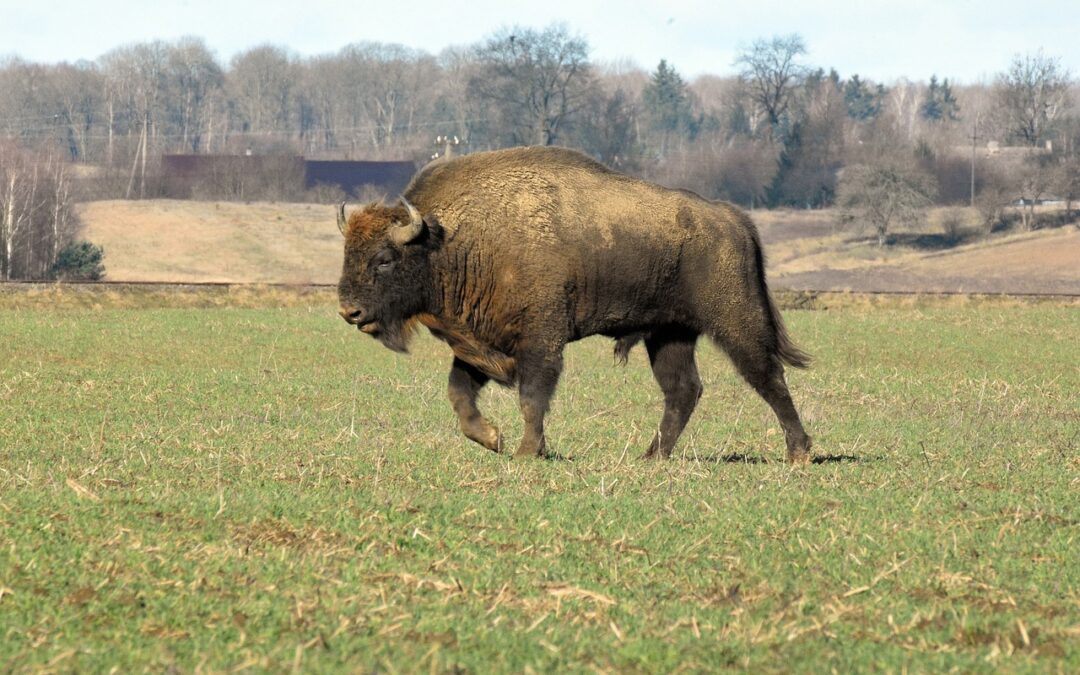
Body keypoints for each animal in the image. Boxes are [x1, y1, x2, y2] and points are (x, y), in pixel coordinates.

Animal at [336, 145, 812, 462]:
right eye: (348, 252)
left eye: (383, 259)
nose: (349, 311)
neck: (449, 241)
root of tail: (733, 218)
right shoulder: (479, 342)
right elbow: (459, 393)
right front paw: (492, 438)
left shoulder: (539, 341)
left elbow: (532, 397)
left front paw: (527, 451)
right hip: (669, 335)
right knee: (683, 390)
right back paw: (650, 457)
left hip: (735, 321)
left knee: (768, 377)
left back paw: (799, 452)